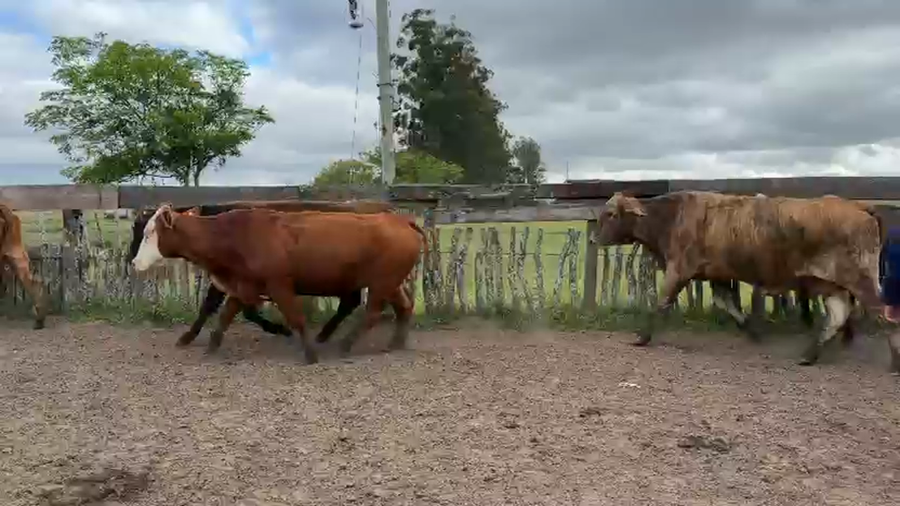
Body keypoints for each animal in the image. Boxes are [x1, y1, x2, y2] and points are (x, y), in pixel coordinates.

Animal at [130, 204, 427, 364]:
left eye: (149, 233)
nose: (134, 262)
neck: (234, 234)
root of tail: (402, 220)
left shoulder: (279, 285)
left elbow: (296, 318)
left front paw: (310, 354)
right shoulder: (244, 284)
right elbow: (226, 316)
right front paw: (211, 347)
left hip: (382, 283)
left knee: (372, 312)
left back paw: (345, 344)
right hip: (391, 283)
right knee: (403, 307)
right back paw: (396, 342)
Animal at [592, 190, 892, 370]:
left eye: (611, 214)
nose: (594, 239)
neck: (671, 217)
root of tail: (857, 206)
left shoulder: (679, 269)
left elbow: (661, 303)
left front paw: (642, 337)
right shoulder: (718, 275)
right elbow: (727, 303)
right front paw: (752, 331)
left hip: (860, 279)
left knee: (883, 315)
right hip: (833, 284)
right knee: (839, 315)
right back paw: (810, 355)